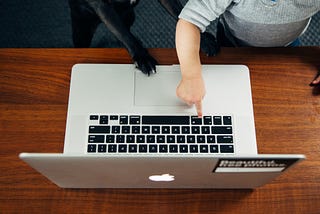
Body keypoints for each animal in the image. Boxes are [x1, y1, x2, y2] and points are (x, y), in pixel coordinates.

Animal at [67, 0, 218, 75]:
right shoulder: (103, 7)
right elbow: (124, 35)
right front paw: (142, 57)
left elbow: (180, 11)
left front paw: (203, 40)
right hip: (82, 28)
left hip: (129, 15)